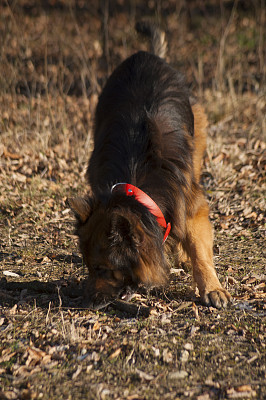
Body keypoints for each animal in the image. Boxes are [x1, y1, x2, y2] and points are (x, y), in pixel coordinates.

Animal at [68, 21, 231, 310]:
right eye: (87, 267)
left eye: (102, 269)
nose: (86, 300)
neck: (138, 187)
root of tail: (147, 55)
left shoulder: (191, 204)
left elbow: (200, 250)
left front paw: (212, 287)